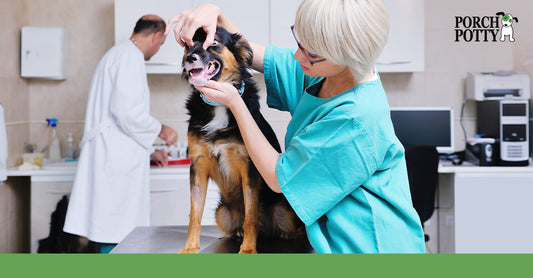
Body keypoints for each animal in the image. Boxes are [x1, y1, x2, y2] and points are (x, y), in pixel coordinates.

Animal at [179, 27, 304, 253]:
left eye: (213, 42)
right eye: (188, 44)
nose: (189, 58)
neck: (217, 106)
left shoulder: (250, 167)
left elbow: (251, 216)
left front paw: (248, 249)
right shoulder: (198, 166)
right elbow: (195, 214)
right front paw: (190, 247)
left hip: (284, 210)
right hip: (222, 214)